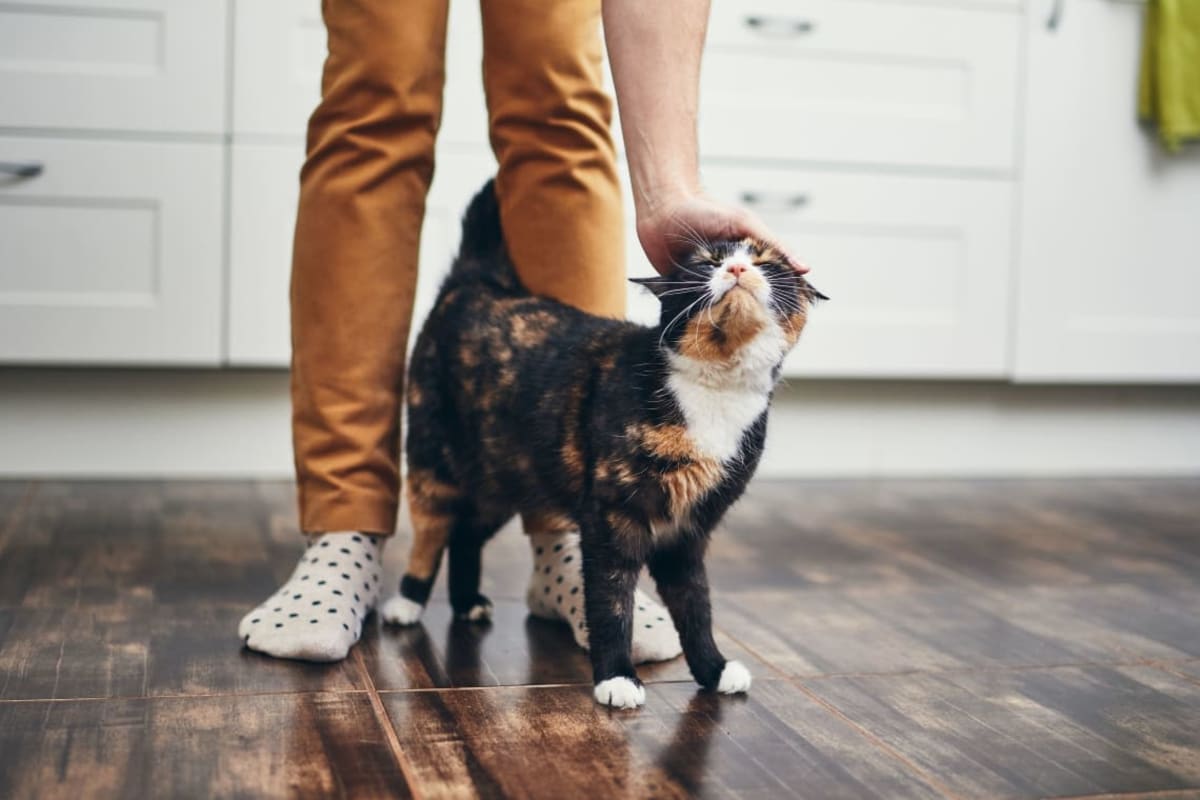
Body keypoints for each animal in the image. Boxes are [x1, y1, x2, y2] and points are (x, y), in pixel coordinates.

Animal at [393, 179, 825, 705]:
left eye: (767, 262)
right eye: (706, 262)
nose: (738, 268)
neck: (715, 390)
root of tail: (478, 282)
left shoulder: (689, 531)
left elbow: (696, 606)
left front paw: (714, 669)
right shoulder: (612, 517)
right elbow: (611, 600)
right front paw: (616, 677)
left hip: (503, 475)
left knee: (466, 533)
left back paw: (467, 602)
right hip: (434, 459)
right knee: (433, 529)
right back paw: (407, 601)